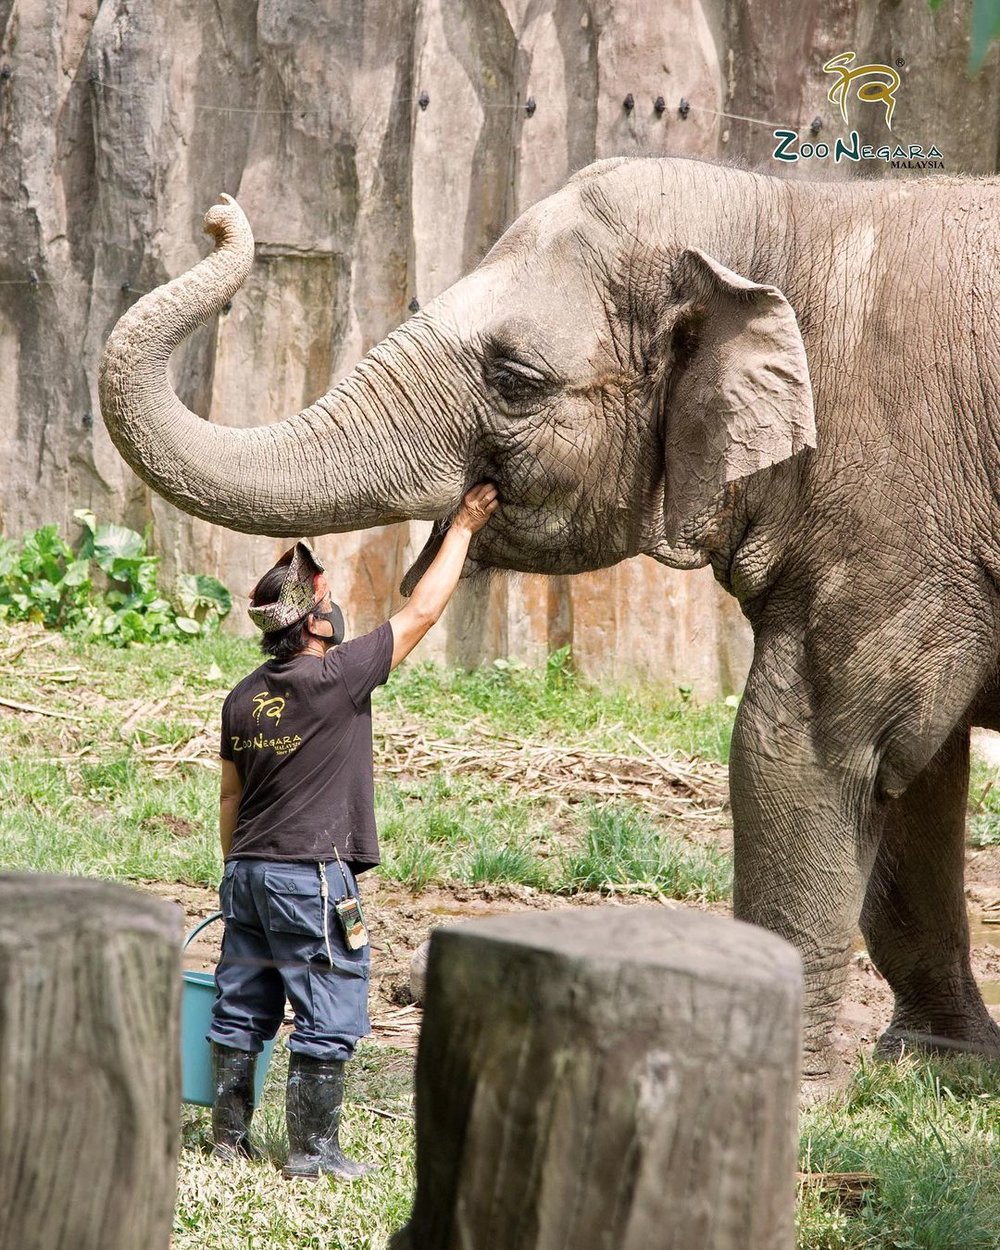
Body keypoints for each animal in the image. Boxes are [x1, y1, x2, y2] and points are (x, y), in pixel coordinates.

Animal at [99, 156, 1000, 1082]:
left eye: (514, 380)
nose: (218, 213)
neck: (786, 211)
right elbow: (914, 775)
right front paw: (945, 1068)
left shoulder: (894, 516)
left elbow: (809, 749)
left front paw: (806, 1087)